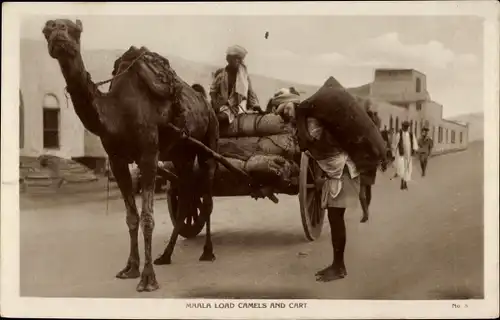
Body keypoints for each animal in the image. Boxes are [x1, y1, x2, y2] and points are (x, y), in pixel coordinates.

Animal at [43, 18, 221, 292]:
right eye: (47, 30)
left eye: (75, 30)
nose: (58, 35)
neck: (118, 111)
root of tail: (204, 100)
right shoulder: (117, 160)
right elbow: (131, 217)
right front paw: (130, 268)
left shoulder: (149, 154)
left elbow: (147, 217)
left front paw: (148, 279)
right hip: (180, 152)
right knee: (187, 195)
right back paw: (165, 255)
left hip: (208, 141)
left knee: (208, 197)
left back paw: (207, 252)